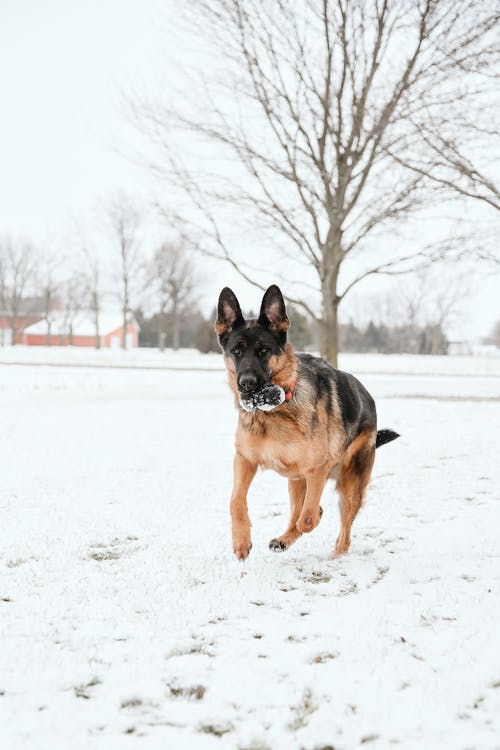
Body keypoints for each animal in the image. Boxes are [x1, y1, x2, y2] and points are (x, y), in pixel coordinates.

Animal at [216, 284, 398, 560]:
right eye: (236, 351)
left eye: (263, 351)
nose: (246, 385)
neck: (274, 410)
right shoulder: (245, 460)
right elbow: (235, 501)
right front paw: (241, 541)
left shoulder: (316, 471)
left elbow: (309, 518)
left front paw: (311, 520)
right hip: (295, 480)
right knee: (297, 510)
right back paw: (283, 540)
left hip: (350, 486)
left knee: (341, 529)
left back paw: (337, 553)